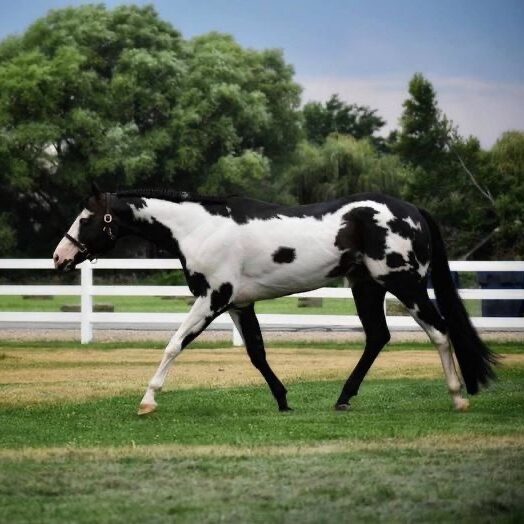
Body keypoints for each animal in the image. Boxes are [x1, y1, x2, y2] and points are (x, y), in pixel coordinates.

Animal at [52, 186, 496, 416]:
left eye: (86, 219)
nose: (59, 257)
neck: (198, 228)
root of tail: (413, 209)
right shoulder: (238, 305)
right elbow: (257, 354)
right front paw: (283, 401)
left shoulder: (212, 299)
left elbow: (174, 344)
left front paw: (147, 400)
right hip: (366, 287)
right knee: (377, 337)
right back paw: (343, 399)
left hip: (404, 284)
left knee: (439, 331)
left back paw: (458, 396)